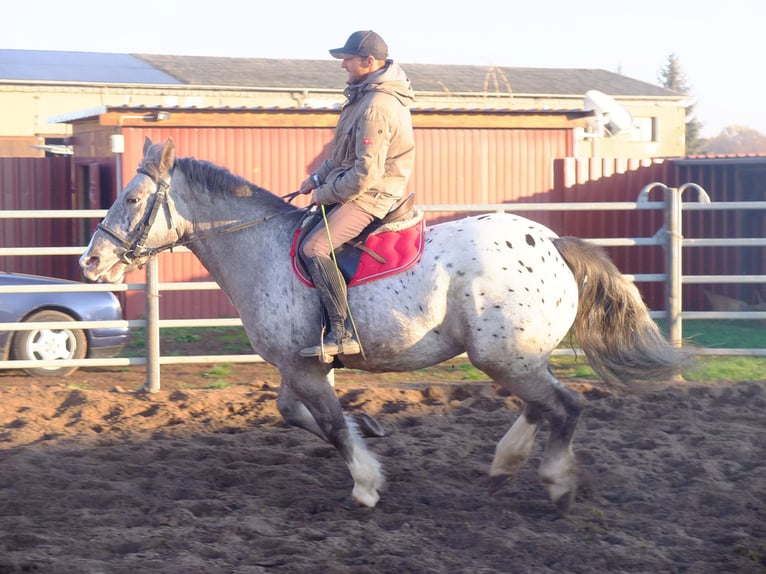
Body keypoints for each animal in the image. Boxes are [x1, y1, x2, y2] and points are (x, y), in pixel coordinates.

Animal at [79, 137, 688, 516]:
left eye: (132, 198)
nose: (90, 262)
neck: (262, 248)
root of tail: (555, 244)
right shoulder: (300, 366)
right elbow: (295, 414)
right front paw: (370, 428)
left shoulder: (304, 367)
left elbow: (329, 426)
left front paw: (366, 486)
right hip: (512, 358)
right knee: (544, 406)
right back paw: (505, 464)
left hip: (503, 357)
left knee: (565, 405)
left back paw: (557, 484)